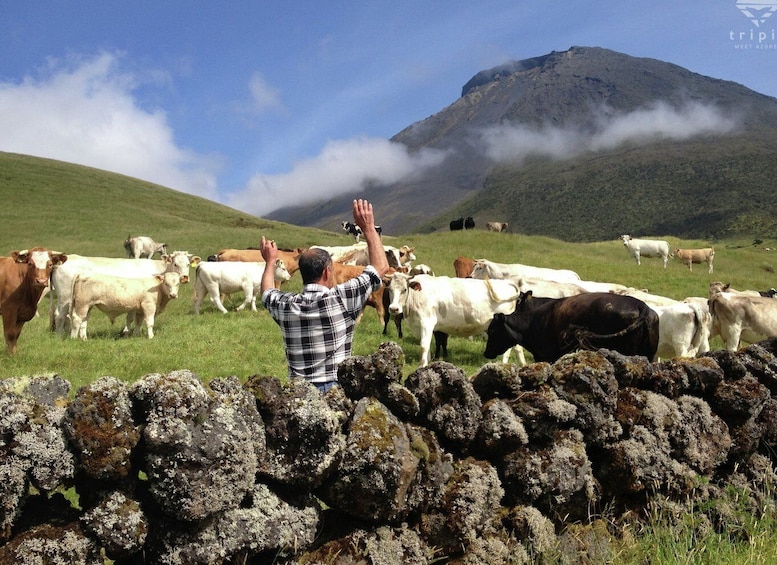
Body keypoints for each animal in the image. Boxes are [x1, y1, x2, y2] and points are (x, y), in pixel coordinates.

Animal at [49, 250, 199, 334]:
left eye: (187, 264)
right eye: (175, 263)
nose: (185, 277)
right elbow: (132, 318)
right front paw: (127, 331)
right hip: (66, 299)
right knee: (60, 316)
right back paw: (60, 335)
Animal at [386, 272, 524, 366]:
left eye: (404, 289)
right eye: (390, 289)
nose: (393, 308)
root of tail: (508, 283)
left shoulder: (427, 322)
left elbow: (424, 346)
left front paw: (423, 366)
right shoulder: (419, 326)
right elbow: (428, 347)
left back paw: (504, 364)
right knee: (518, 347)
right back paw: (523, 365)